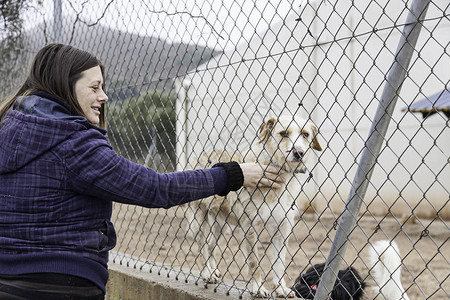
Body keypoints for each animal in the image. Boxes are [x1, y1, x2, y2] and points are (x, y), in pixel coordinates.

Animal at [186, 114, 324, 298]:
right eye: (284, 133)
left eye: (305, 134)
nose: (299, 153)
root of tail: (200, 156)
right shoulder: (250, 228)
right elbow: (254, 263)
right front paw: (258, 288)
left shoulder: (283, 229)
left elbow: (279, 264)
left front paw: (280, 288)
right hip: (199, 220)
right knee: (202, 247)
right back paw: (207, 273)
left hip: (221, 224)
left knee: (210, 245)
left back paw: (213, 271)